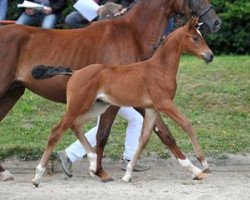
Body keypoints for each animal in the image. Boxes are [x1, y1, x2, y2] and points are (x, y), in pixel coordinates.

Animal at [31, 18, 213, 185]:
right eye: (195, 38)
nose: (210, 55)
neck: (160, 68)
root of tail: (75, 72)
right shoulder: (165, 104)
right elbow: (187, 125)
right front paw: (202, 165)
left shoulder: (151, 109)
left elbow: (144, 139)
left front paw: (128, 174)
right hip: (78, 106)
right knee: (57, 131)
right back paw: (38, 176)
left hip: (97, 107)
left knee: (75, 125)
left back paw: (93, 164)